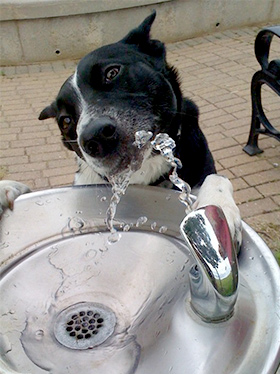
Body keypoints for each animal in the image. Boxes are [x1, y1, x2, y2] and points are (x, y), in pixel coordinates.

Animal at [0, 12, 242, 248]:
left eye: (112, 72)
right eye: (66, 121)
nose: (95, 136)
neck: (144, 172)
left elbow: (218, 178)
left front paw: (216, 212)